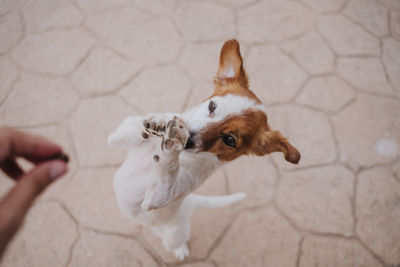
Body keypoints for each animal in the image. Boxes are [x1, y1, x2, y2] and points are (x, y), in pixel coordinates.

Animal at [107, 39, 300, 262]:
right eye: (212, 105)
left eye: (230, 139)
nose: (188, 140)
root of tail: (192, 204)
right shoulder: (119, 134)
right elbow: (136, 126)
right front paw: (163, 121)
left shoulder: (159, 196)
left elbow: (167, 171)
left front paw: (172, 143)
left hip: (176, 232)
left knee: (173, 240)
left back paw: (180, 250)